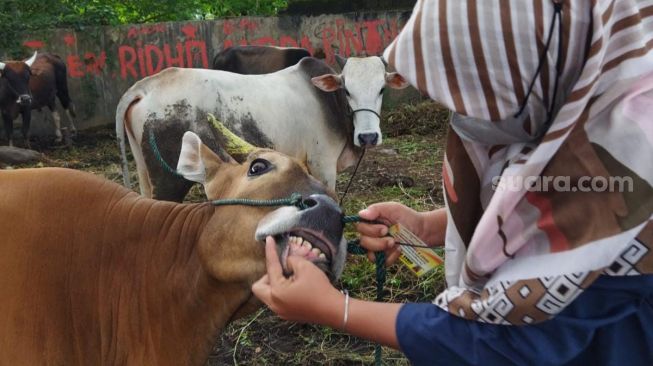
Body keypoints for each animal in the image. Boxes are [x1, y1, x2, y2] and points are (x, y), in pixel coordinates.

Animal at [114, 55, 404, 202]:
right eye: (347, 90)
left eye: (381, 89)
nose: (368, 136)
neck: (330, 102)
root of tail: (147, 86)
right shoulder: (322, 164)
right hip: (169, 181)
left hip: (145, 173)